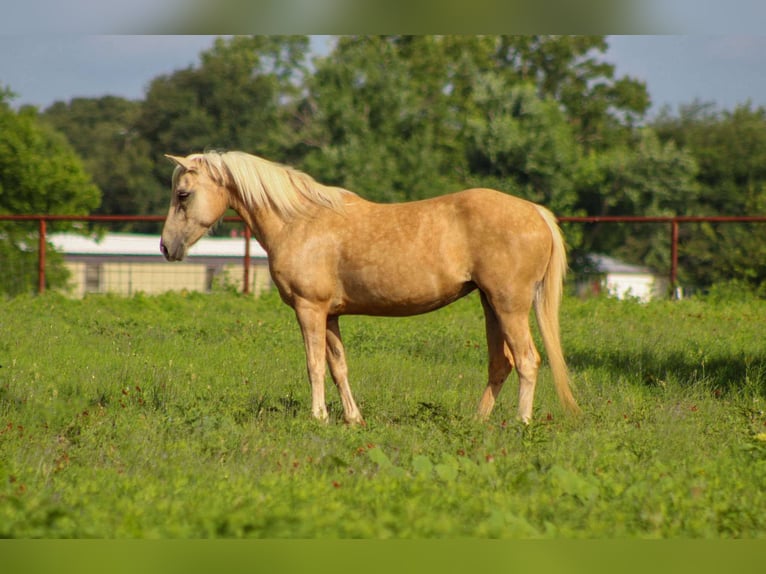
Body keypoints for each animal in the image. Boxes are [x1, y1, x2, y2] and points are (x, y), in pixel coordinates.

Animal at [160, 150, 579, 425]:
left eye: (183, 194)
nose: (166, 247)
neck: (300, 221)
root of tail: (535, 212)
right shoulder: (330, 315)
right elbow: (338, 366)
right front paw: (353, 419)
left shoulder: (309, 309)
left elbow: (313, 364)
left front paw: (318, 416)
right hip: (491, 305)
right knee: (501, 363)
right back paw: (477, 422)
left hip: (510, 305)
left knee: (527, 360)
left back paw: (521, 423)